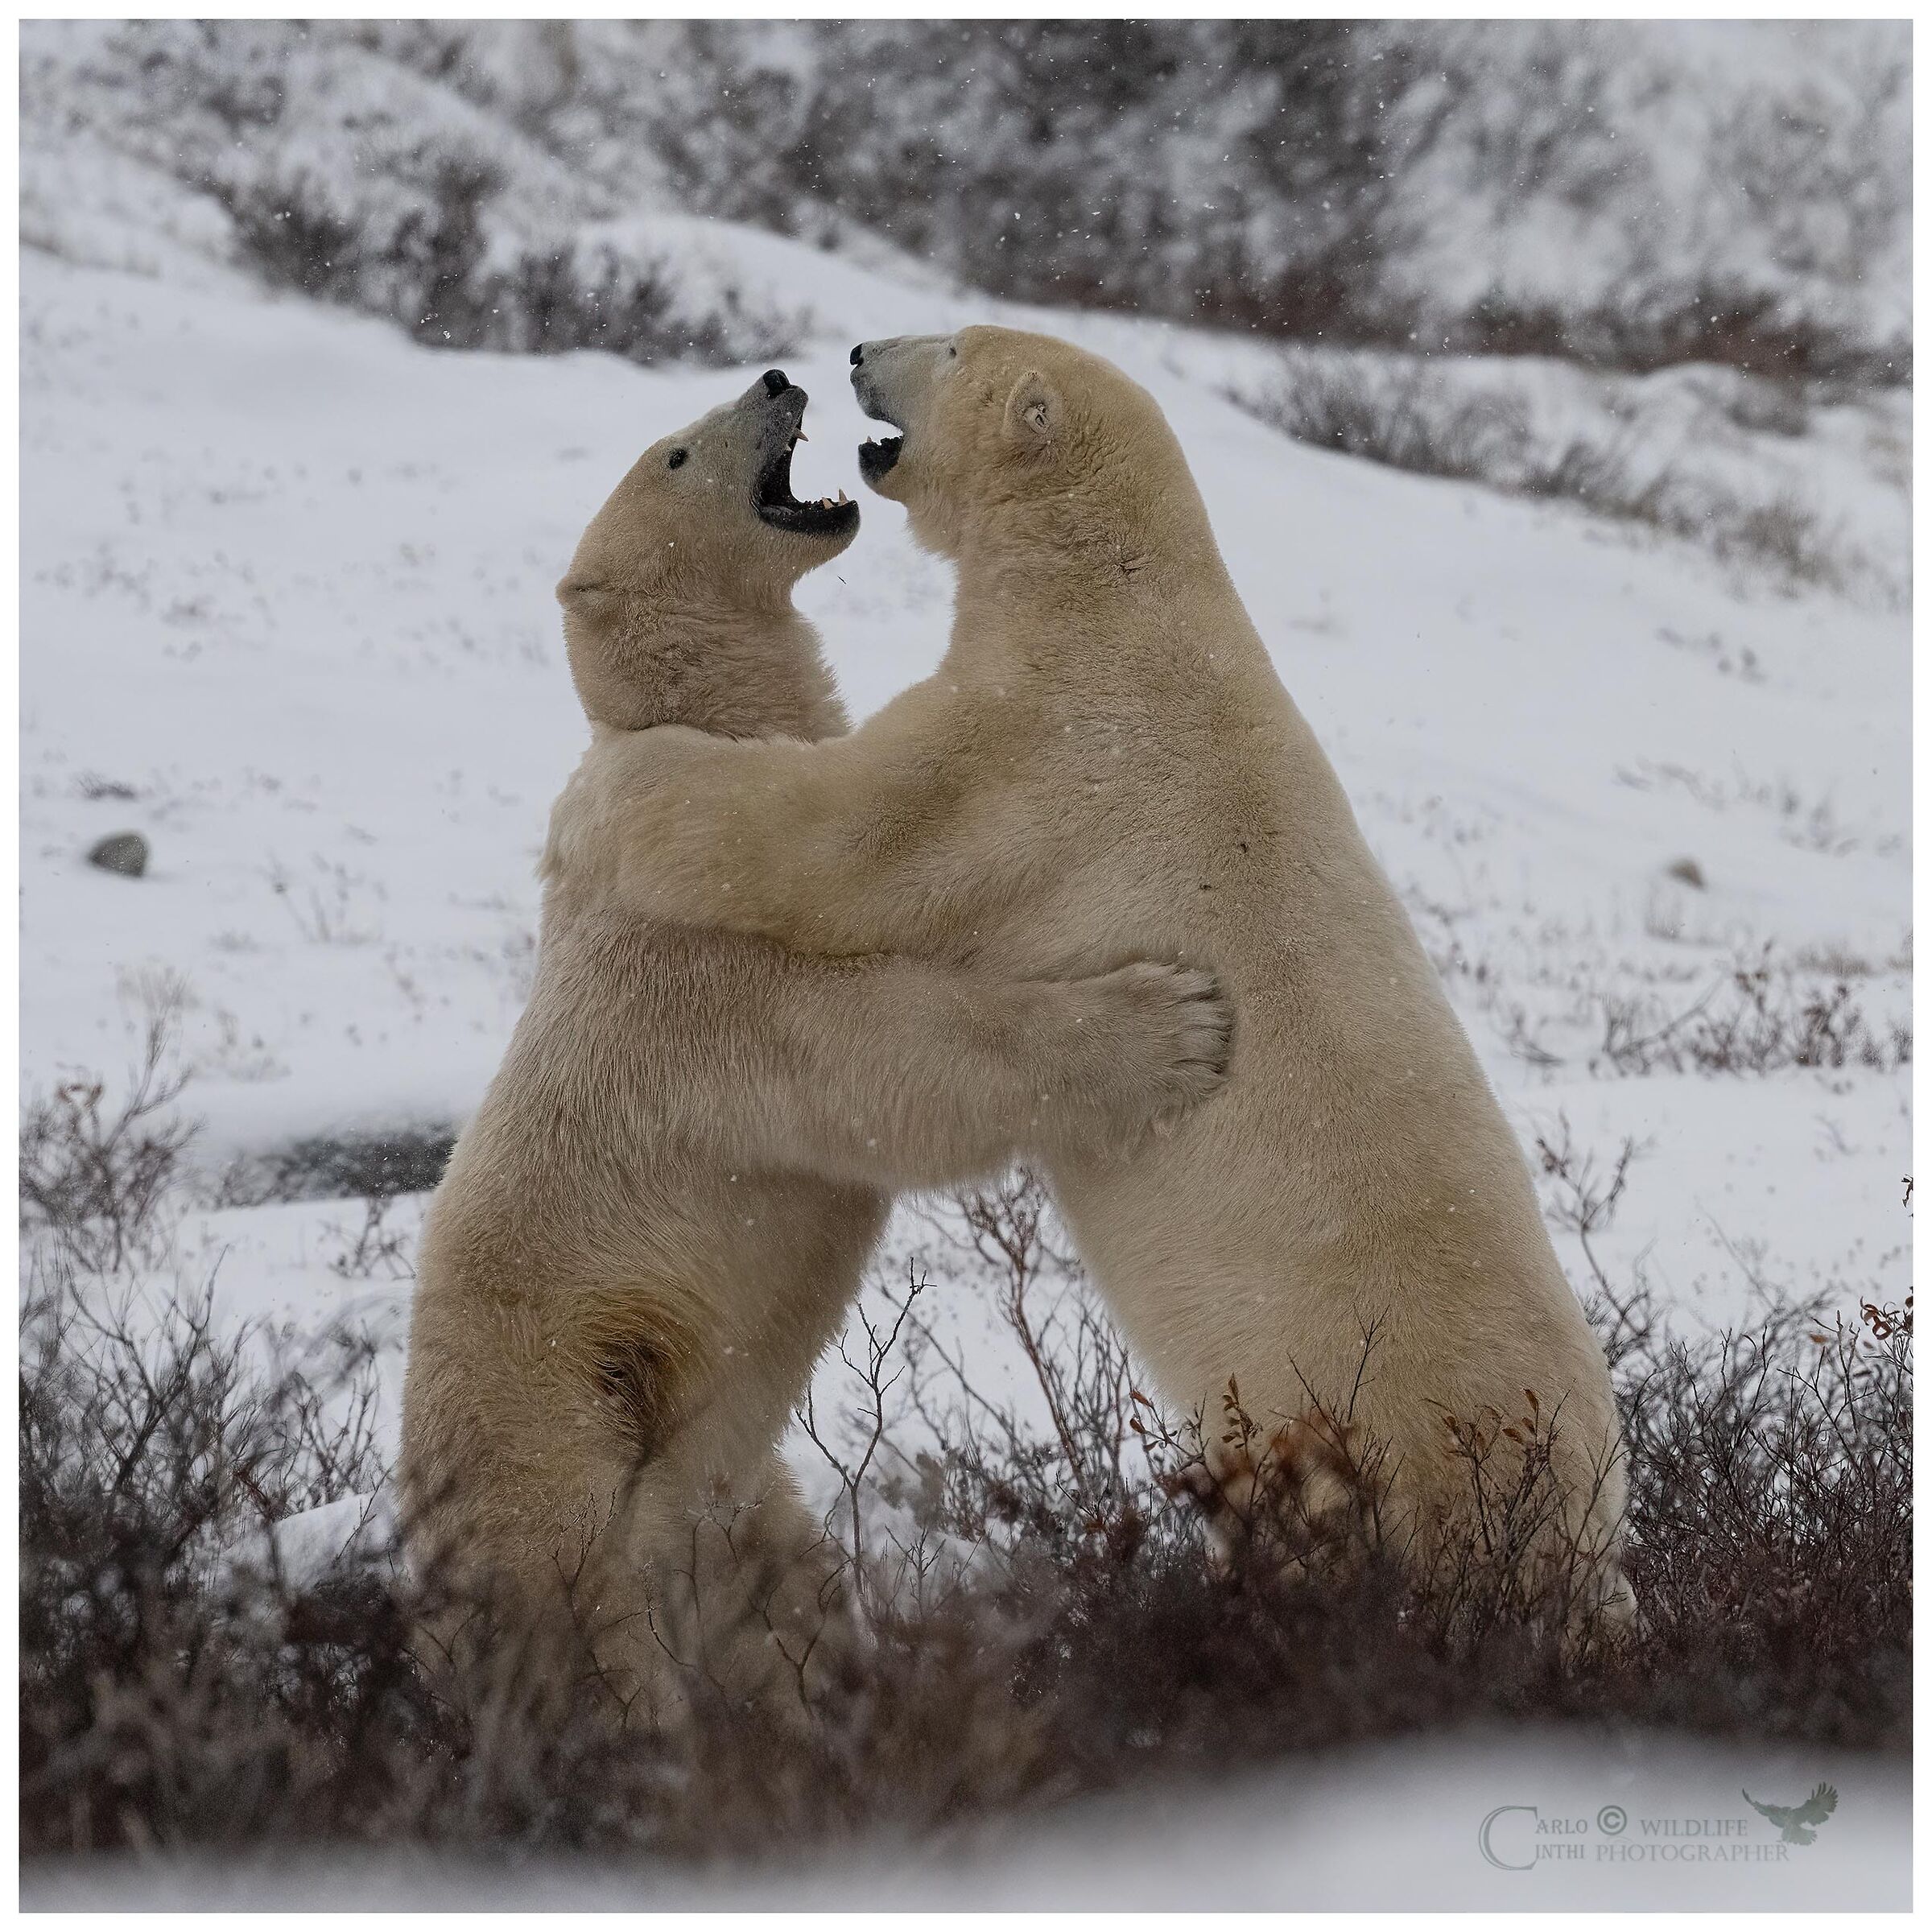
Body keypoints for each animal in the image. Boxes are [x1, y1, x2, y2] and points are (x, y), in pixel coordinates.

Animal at [398, 367, 1235, 1726]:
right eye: (678, 452)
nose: (780, 378)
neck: (708, 732)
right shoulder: (705, 981)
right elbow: (894, 1058)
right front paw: (1173, 1025)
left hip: (734, 1500)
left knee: (775, 1590)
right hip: (557, 1424)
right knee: (590, 1627)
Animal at [542, 329, 1635, 1625]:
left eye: (951, 342)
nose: (857, 349)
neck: (1113, 590)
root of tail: (1568, 1537)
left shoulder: (1041, 748)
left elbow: (841, 835)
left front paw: (614, 795)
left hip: (1355, 1431)